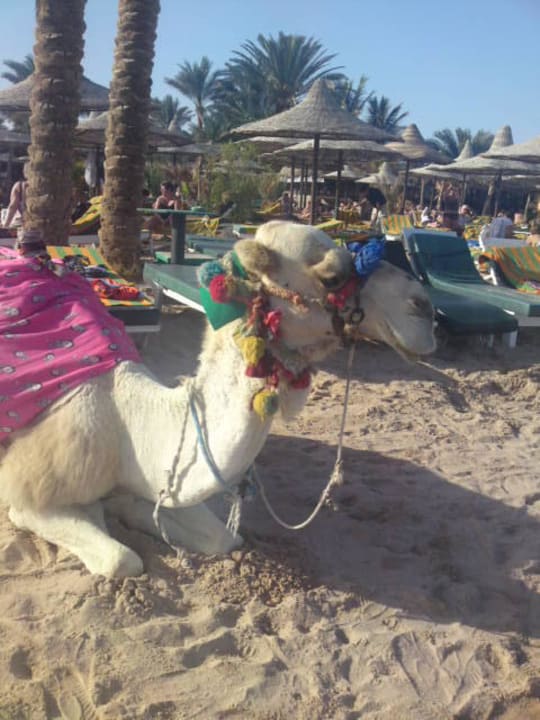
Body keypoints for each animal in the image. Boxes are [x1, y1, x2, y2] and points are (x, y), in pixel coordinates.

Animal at [0, 221, 435, 577]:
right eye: (331, 276)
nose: (424, 308)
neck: (131, 430)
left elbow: (224, 538)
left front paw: (129, 508)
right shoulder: (30, 497)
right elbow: (121, 559)